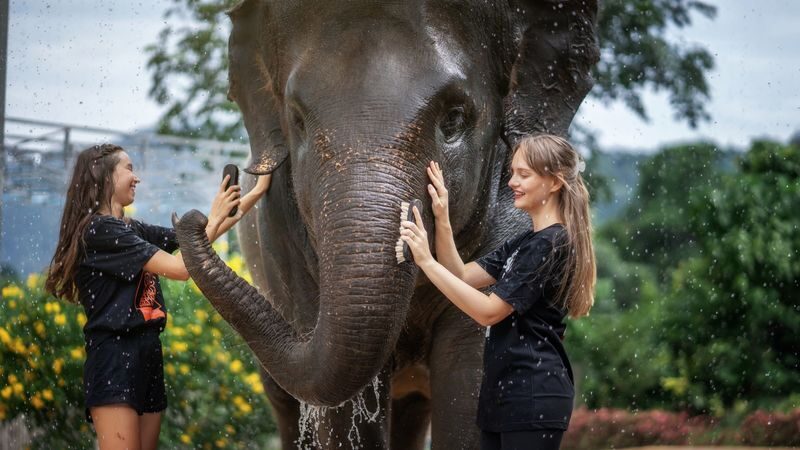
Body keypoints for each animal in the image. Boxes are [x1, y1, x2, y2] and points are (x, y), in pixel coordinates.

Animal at [173, 0, 599, 448]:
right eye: (298, 121)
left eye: (454, 119)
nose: (198, 213)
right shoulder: (282, 243)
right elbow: (345, 412)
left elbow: (473, 376)